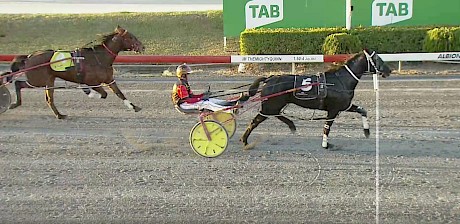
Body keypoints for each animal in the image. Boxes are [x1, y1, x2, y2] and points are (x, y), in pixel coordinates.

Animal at [9, 25, 146, 119]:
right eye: (130, 37)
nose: (143, 46)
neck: (99, 58)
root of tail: (29, 57)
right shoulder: (91, 82)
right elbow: (103, 94)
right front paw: (88, 92)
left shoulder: (109, 80)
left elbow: (119, 93)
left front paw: (134, 107)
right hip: (37, 80)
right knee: (19, 84)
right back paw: (14, 104)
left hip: (49, 80)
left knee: (49, 99)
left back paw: (60, 115)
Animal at [241, 50, 392, 150]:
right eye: (378, 59)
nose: (389, 70)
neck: (340, 80)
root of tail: (269, 78)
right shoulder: (334, 109)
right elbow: (327, 127)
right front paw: (325, 144)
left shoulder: (345, 105)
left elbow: (362, 110)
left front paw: (367, 131)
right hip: (270, 105)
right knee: (256, 121)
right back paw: (245, 140)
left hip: (274, 105)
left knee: (275, 114)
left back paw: (292, 125)